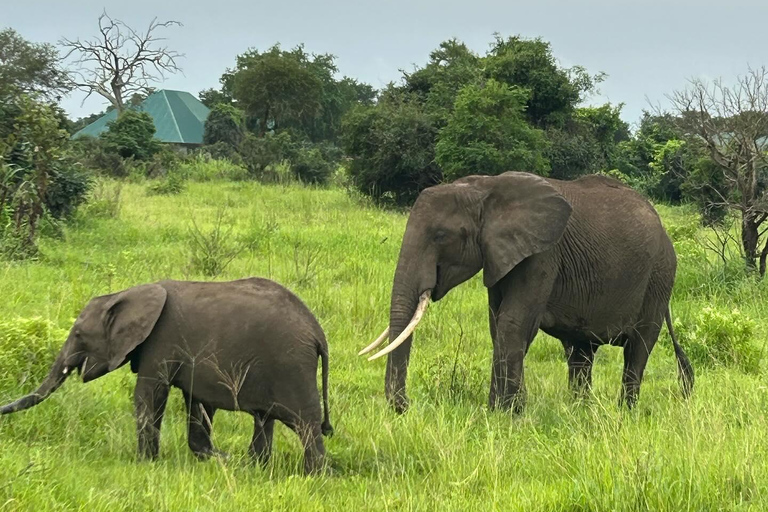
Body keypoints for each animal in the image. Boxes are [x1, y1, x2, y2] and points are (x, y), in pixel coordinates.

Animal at [0, 278, 332, 474]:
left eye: (79, 334)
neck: (127, 294)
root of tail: (318, 334)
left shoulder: (161, 342)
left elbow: (149, 394)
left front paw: (145, 464)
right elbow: (198, 402)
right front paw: (219, 458)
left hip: (291, 366)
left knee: (306, 424)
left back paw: (315, 475)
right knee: (265, 419)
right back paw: (254, 468)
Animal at [364, 171, 692, 412]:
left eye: (441, 235)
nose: (403, 407)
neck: (485, 189)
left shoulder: (543, 255)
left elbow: (513, 323)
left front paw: (503, 414)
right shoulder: (500, 255)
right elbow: (498, 324)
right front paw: (510, 410)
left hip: (659, 277)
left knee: (638, 348)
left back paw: (625, 413)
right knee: (581, 353)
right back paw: (579, 412)